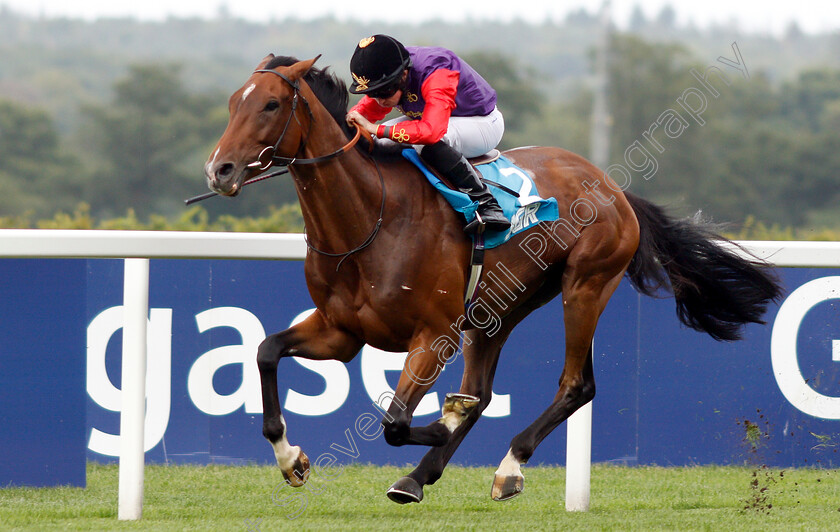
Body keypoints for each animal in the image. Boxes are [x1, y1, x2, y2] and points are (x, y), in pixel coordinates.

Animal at [203, 56, 780, 504]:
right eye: (232, 102)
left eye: (271, 105)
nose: (220, 170)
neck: (370, 219)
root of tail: (613, 186)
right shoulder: (340, 331)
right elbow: (266, 351)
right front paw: (291, 459)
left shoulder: (433, 334)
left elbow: (396, 422)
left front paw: (441, 420)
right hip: (496, 310)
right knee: (482, 391)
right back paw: (417, 478)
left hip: (586, 285)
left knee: (575, 384)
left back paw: (507, 467)